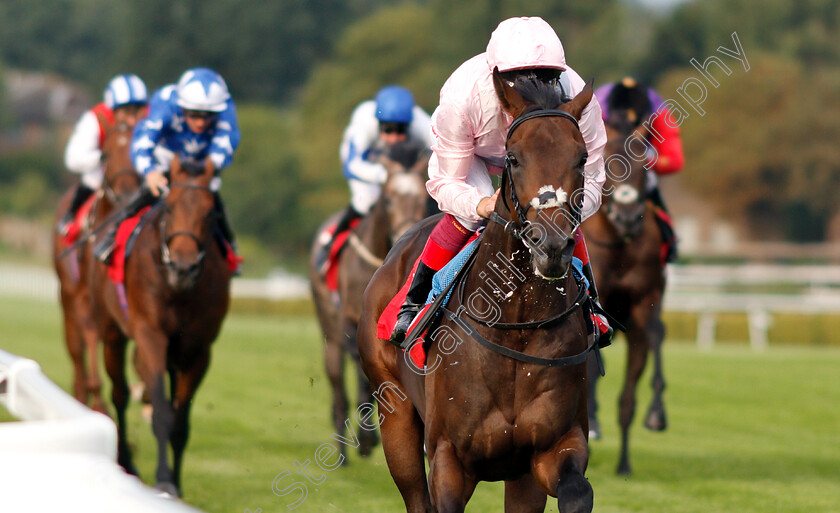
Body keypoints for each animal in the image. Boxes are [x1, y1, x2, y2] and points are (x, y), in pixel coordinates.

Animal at [53, 120, 141, 412]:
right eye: (109, 154)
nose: (128, 194)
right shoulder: (87, 298)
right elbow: (90, 338)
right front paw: (99, 403)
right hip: (68, 295)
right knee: (76, 346)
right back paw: (83, 394)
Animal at [90, 157, 233, 496]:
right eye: (169, 208)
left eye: (210, 213)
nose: (183, 267)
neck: (177, 291)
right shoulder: (150, 336)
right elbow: (160, 413)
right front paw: (164, 479)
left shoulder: (198, 349)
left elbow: (180, 422)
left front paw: (176, 485)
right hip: (113, 333)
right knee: (120, 393)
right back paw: (126, 461)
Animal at [306, 147, 426, 460]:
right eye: (388, 198)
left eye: (423, 198)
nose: (407, 233)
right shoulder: (352, 321)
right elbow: (362, 372)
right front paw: (367, 435)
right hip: (330, 328)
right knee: (337, 381)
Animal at [360, 73, 596, 512]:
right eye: (514, 158)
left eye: (582, 157)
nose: (552, 246)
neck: (518, 327)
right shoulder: (449, 459)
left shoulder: (551, 449)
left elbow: (577, 493)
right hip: (395, 414)